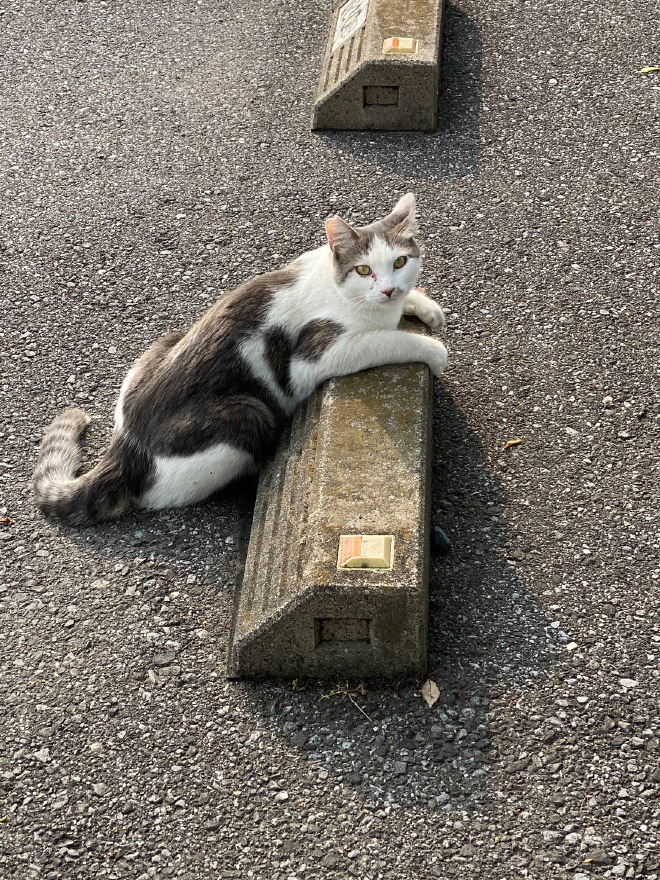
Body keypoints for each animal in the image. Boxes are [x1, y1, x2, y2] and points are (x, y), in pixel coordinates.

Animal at [34, 192, 448, 524]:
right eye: (363, 270)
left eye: (400, 262)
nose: (389, 289)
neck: (340, 286)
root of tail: (125, 446)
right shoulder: (315, 355)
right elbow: (387, 340)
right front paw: (432, 349)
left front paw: (426, 307)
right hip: (247, 415)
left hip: (163, 343)